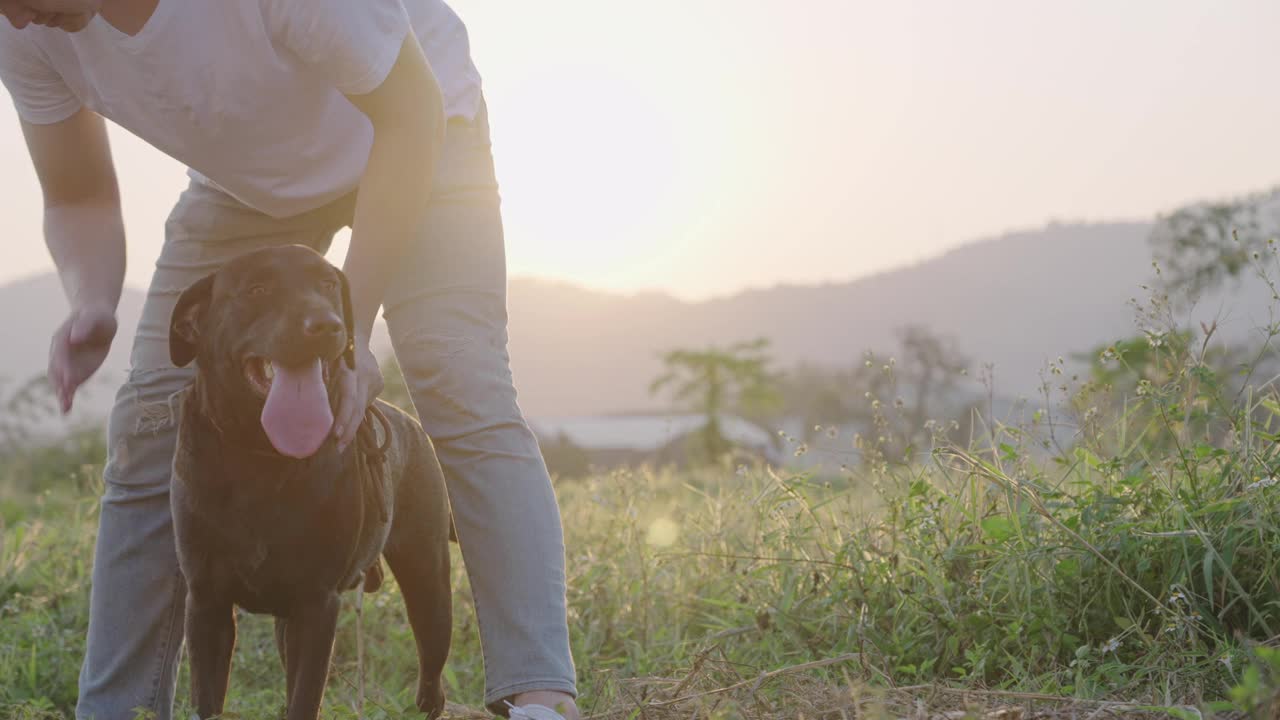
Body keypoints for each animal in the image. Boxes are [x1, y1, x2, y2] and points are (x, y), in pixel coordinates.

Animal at [167, 244, 453, 717]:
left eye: (328, 285)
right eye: (257, 289)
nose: (326, 325)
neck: (260, 456)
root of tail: (407, 419)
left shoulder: (317, 607)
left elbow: (303, 701)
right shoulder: (206, 603)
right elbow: (208, 701)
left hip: (429, 586)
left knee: (431, 684)